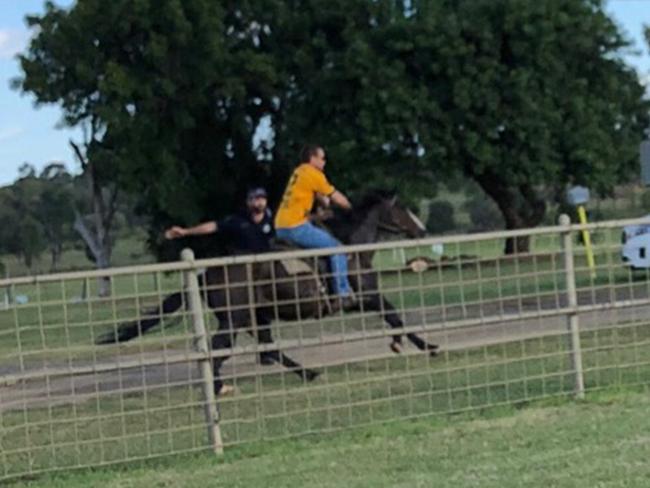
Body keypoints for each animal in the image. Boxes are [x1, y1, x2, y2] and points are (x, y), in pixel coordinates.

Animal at [98, 191, 438, 392]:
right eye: (402, 209)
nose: (422, 230)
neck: (351, 248)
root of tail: (206, 273)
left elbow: (393, 317)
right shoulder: (363, 298)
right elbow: (395, 315)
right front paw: (426, 345)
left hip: (254, 318)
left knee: (268, 349)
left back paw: (309, 374)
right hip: (234, 320)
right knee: (219, 351)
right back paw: (220, 388)